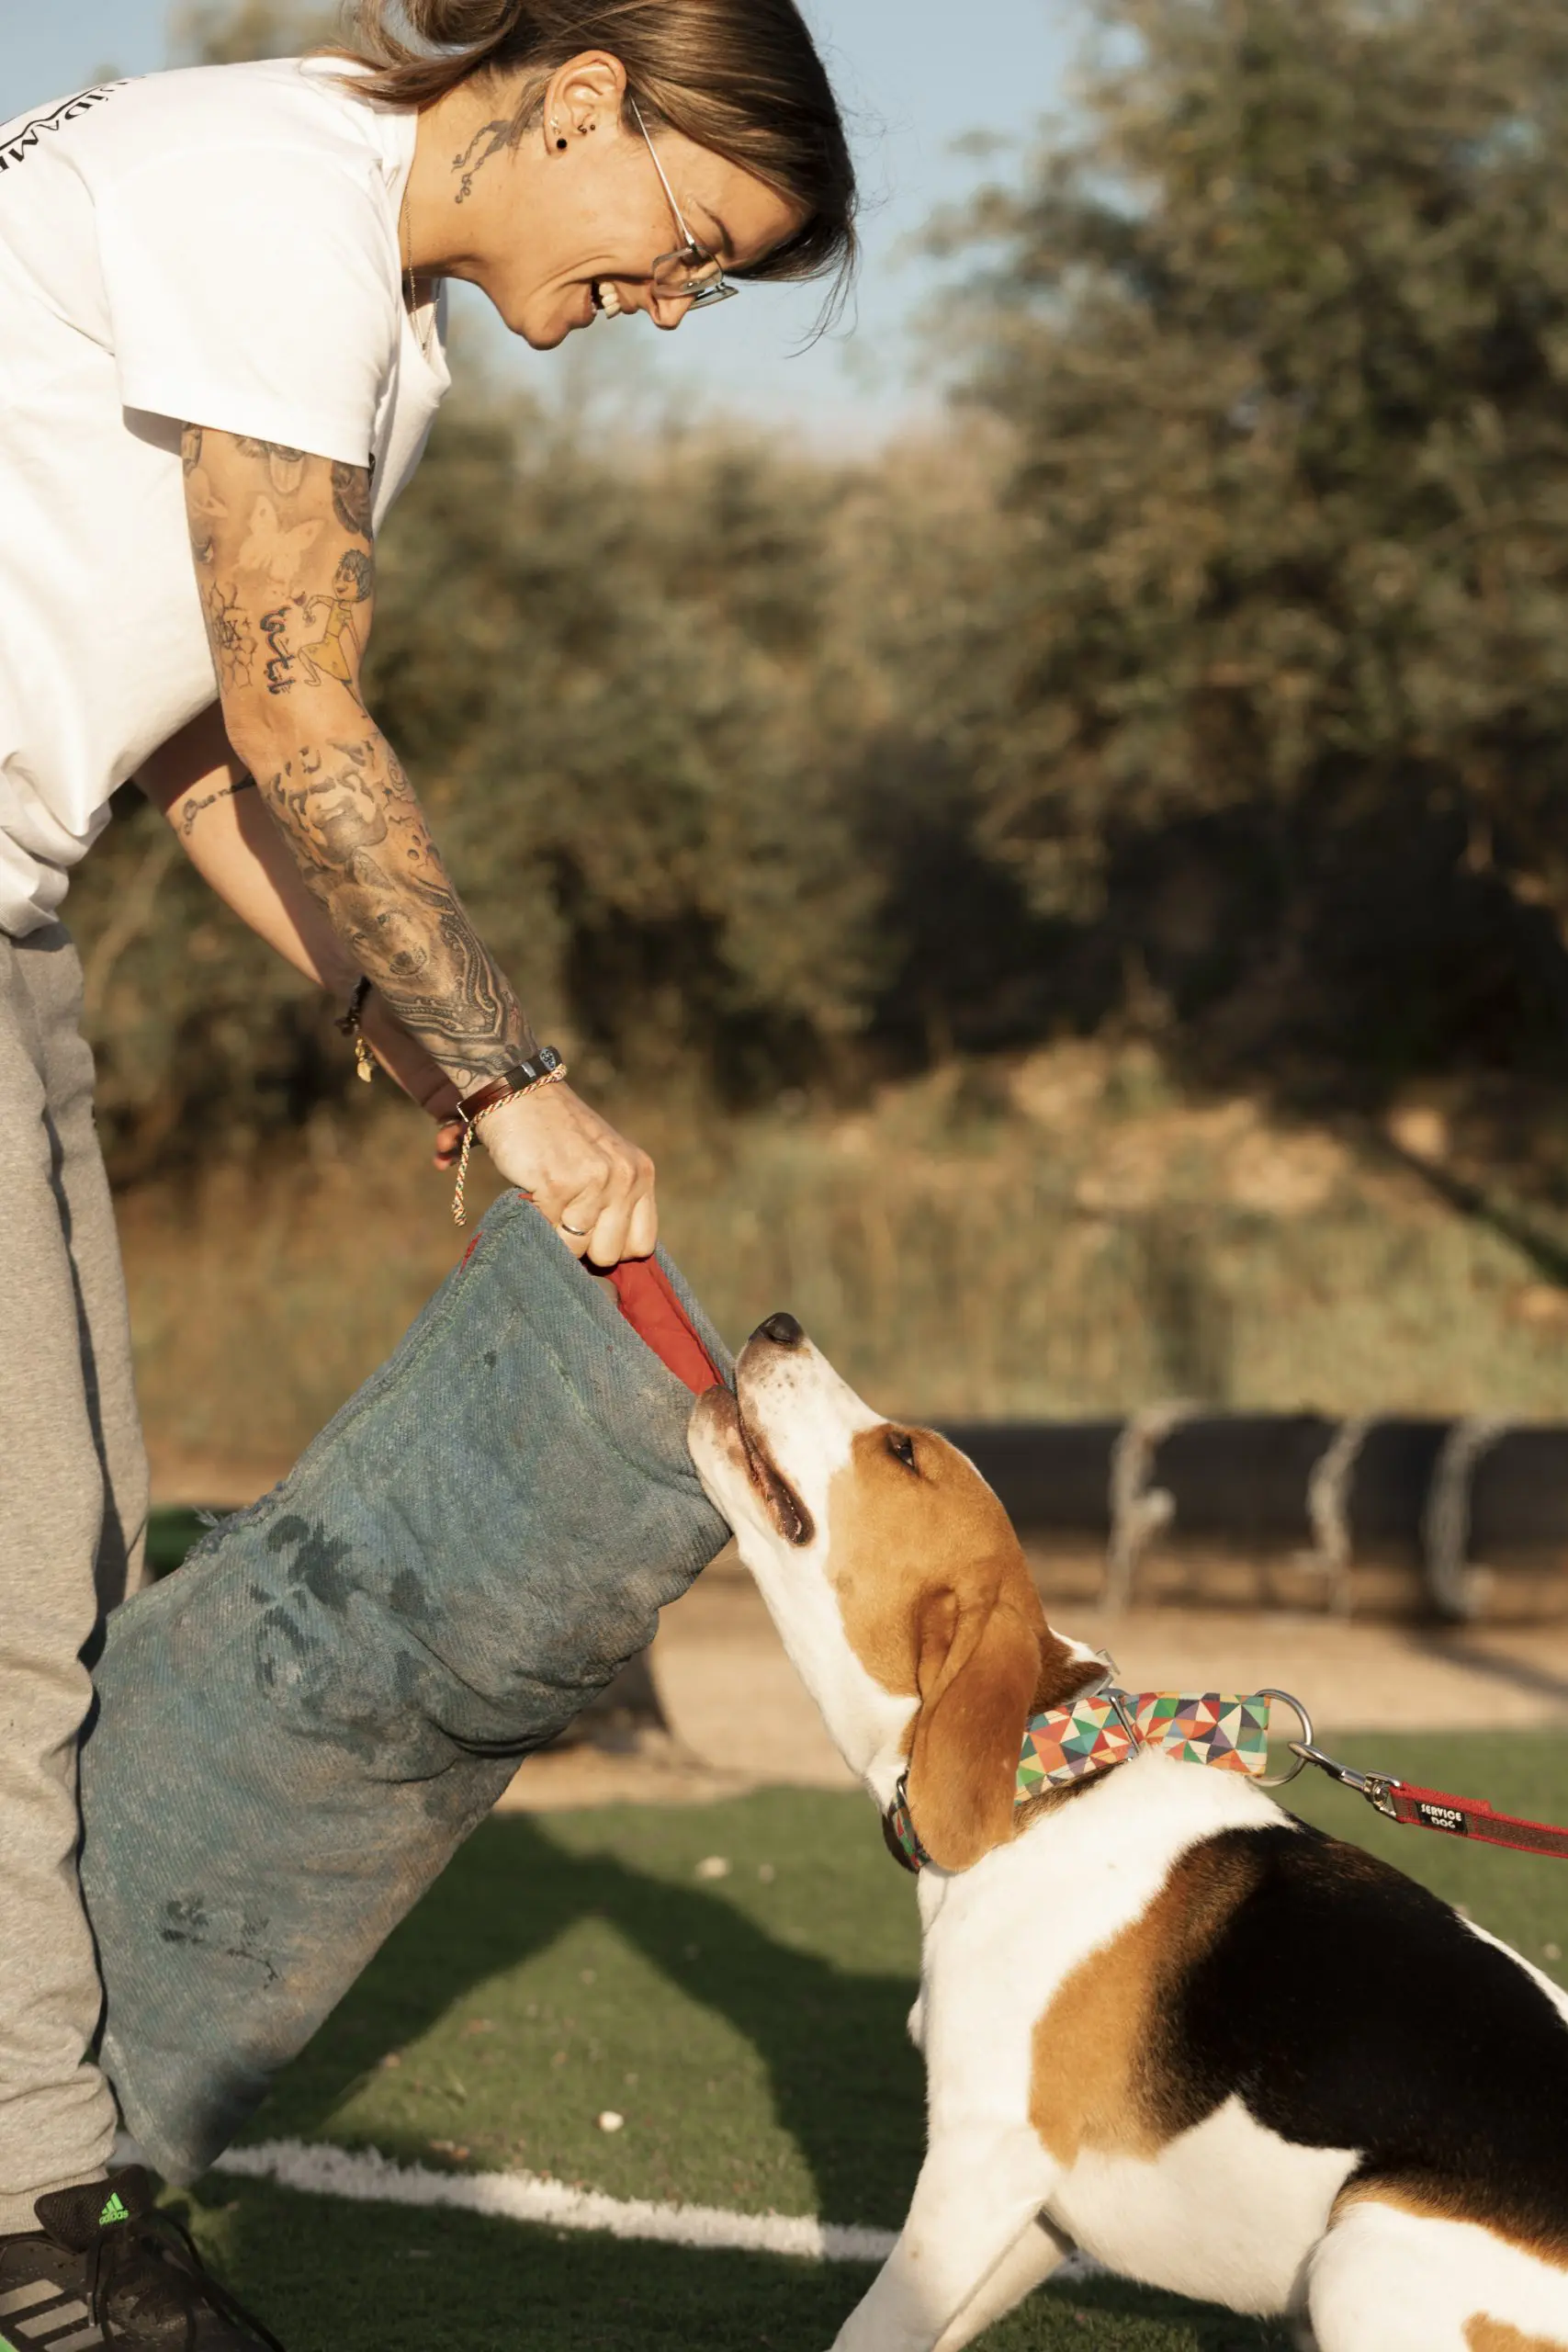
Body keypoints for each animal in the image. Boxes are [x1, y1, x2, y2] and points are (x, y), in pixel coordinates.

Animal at [688, 1313, 1568, 2352]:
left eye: (901, 1450)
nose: (779, 1325)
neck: (1051, 1775)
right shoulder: (1033, 2214)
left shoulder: (981, 2157)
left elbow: (874, 2328)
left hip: (1364, 2246)